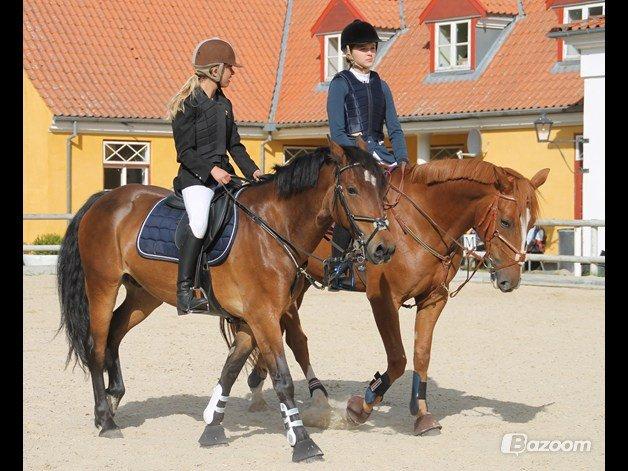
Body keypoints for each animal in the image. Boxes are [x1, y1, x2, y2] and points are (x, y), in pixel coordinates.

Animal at [56, 142, 394, 462]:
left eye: (382, 190)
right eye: (351, 189)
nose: (383, 249)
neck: (273, 228)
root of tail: (104, 199)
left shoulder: (252, 318)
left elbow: (230, 370)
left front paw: (212, 428)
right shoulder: (264, 316)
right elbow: (282, 378)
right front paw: (303, 444)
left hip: (144, 295)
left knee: (115, 333)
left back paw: (113, 400)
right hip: (102, 285)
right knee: (97, 346)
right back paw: (105, 420)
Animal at [243, 159, 548, 436]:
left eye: (531, 223)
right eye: (506, 221)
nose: (511, 279)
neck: (420, 225)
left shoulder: (434, 299)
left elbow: (421, 355)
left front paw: (422, 414)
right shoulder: (383, 300)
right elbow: (398, 359)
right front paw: (361, 406)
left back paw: (258, 382)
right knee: (295, 339)